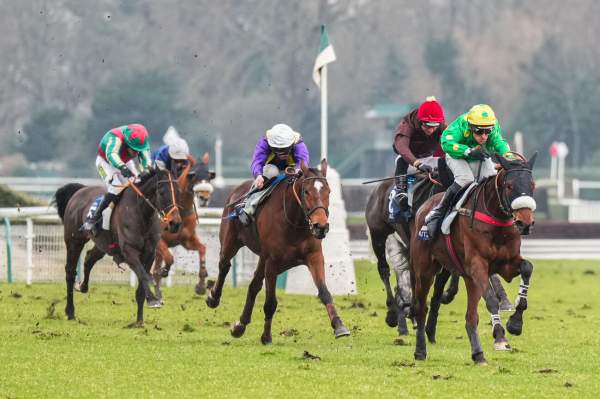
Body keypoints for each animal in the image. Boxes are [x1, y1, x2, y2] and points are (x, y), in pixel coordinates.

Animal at [53, 170, 180, 326]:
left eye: (178, 192)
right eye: (162, 193)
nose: (175, 223)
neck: (141, 213)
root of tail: (80, 190)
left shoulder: (149, 253)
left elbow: (141, 283)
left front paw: (139, 321)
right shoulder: (129, 251)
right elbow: (143, 275)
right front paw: (153, 300)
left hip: (103, 244)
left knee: (89, 258)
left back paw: (82, 286)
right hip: (74, 241)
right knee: (70, 272)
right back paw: (70, 312)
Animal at [152, 152, 216, 296]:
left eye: (208, 176)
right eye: (194, 175)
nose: (204, 197)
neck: (180, 211)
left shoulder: (186, 240)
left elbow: (202, 249)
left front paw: (201, 285)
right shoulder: (158, 241)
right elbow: (169, 258)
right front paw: (164, 271)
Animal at [205, 159, 350, 344]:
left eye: (329, 191)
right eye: (306, 191)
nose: (321, 226)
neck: (294, 223)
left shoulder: (314, 256)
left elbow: (324, 292)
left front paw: (339, 325)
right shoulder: (272, 262)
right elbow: (270, 303)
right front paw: (266, 336)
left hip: (262, 258)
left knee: (254, 285)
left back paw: (240, 325)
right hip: (231, 242)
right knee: (224, 265)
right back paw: (213, 298)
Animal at [410, 154, 536, 366]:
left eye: (533, 184)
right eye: (509, 185)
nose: (525, 223)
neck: (496, 221)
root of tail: (424, 208)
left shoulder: (507, 263)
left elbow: (527, 267)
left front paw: (515, 323)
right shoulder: (477, 265)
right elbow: (492, 300)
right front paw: (500, 337)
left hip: (469, 279)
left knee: (471, 317)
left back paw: (478, 355)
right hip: (425, 270)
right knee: (421, 308)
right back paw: (420, 351)